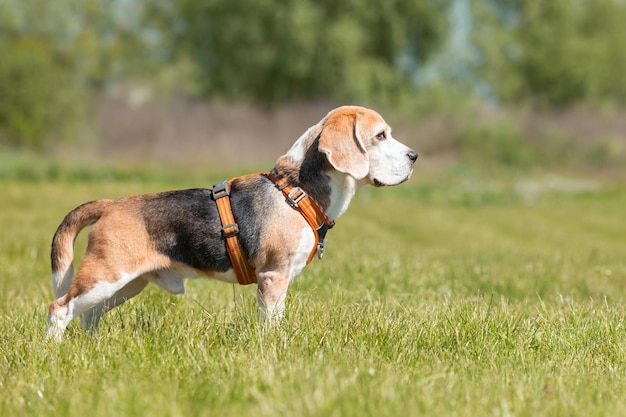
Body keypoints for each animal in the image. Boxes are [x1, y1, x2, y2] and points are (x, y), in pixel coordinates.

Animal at [46, 103, 416, 338]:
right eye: (380, 136)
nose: (415, 156)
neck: (297, 189)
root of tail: (110, 204)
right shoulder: (273, 276)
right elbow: (270, 324)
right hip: (105, 278)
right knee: (59, 309)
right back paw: (55, 351)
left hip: (125, 284)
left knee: (88, 316)